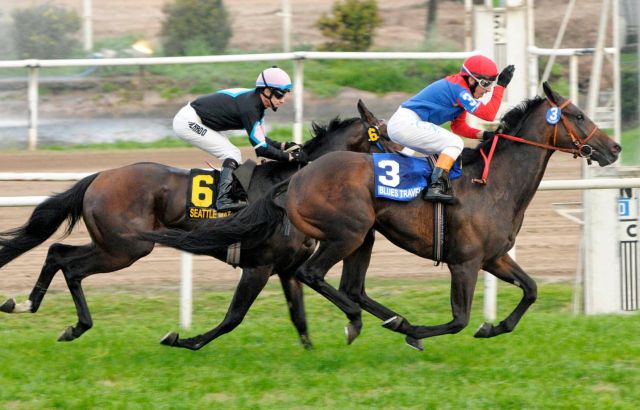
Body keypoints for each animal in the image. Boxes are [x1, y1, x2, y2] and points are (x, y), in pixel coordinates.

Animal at [0, 100, 400, 350]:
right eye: (385, 136)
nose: (408, 162)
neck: (292, 186)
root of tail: (99, 176)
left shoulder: (287, 268)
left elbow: (299, 318)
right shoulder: (258, 265)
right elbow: (233, 317)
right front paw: (182, 340)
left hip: (111, 243)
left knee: (57, 252)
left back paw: (28, 305)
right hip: (126, 248)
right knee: (72, 267)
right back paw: (73, 324)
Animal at [149, 82, 620, 350]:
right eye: (579, 115)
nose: (614, 148)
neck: (493, 184)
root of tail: (299, 176)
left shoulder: (495, 257)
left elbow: (531, 290)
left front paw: (494, 327)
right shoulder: (465, 262)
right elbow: (458, 319)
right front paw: (415, 333)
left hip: (365, 237)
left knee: (348, 286)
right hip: (349, 232)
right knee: (313, 273)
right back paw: (364, 322)